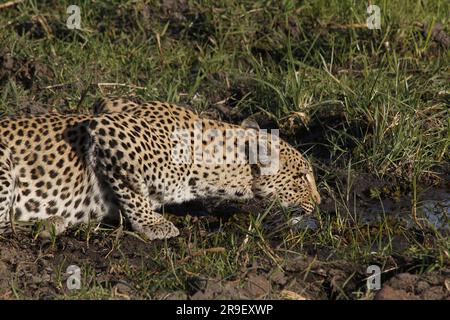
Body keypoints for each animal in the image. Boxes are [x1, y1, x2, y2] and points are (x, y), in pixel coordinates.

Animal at [0, 97, 320, 240]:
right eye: (301, 177)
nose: (318, 202)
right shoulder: (106, 129)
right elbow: (132, 190)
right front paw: (152, 224)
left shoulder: (109, 104)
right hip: (4, 164)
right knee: (4, 226)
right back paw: (49, 223)